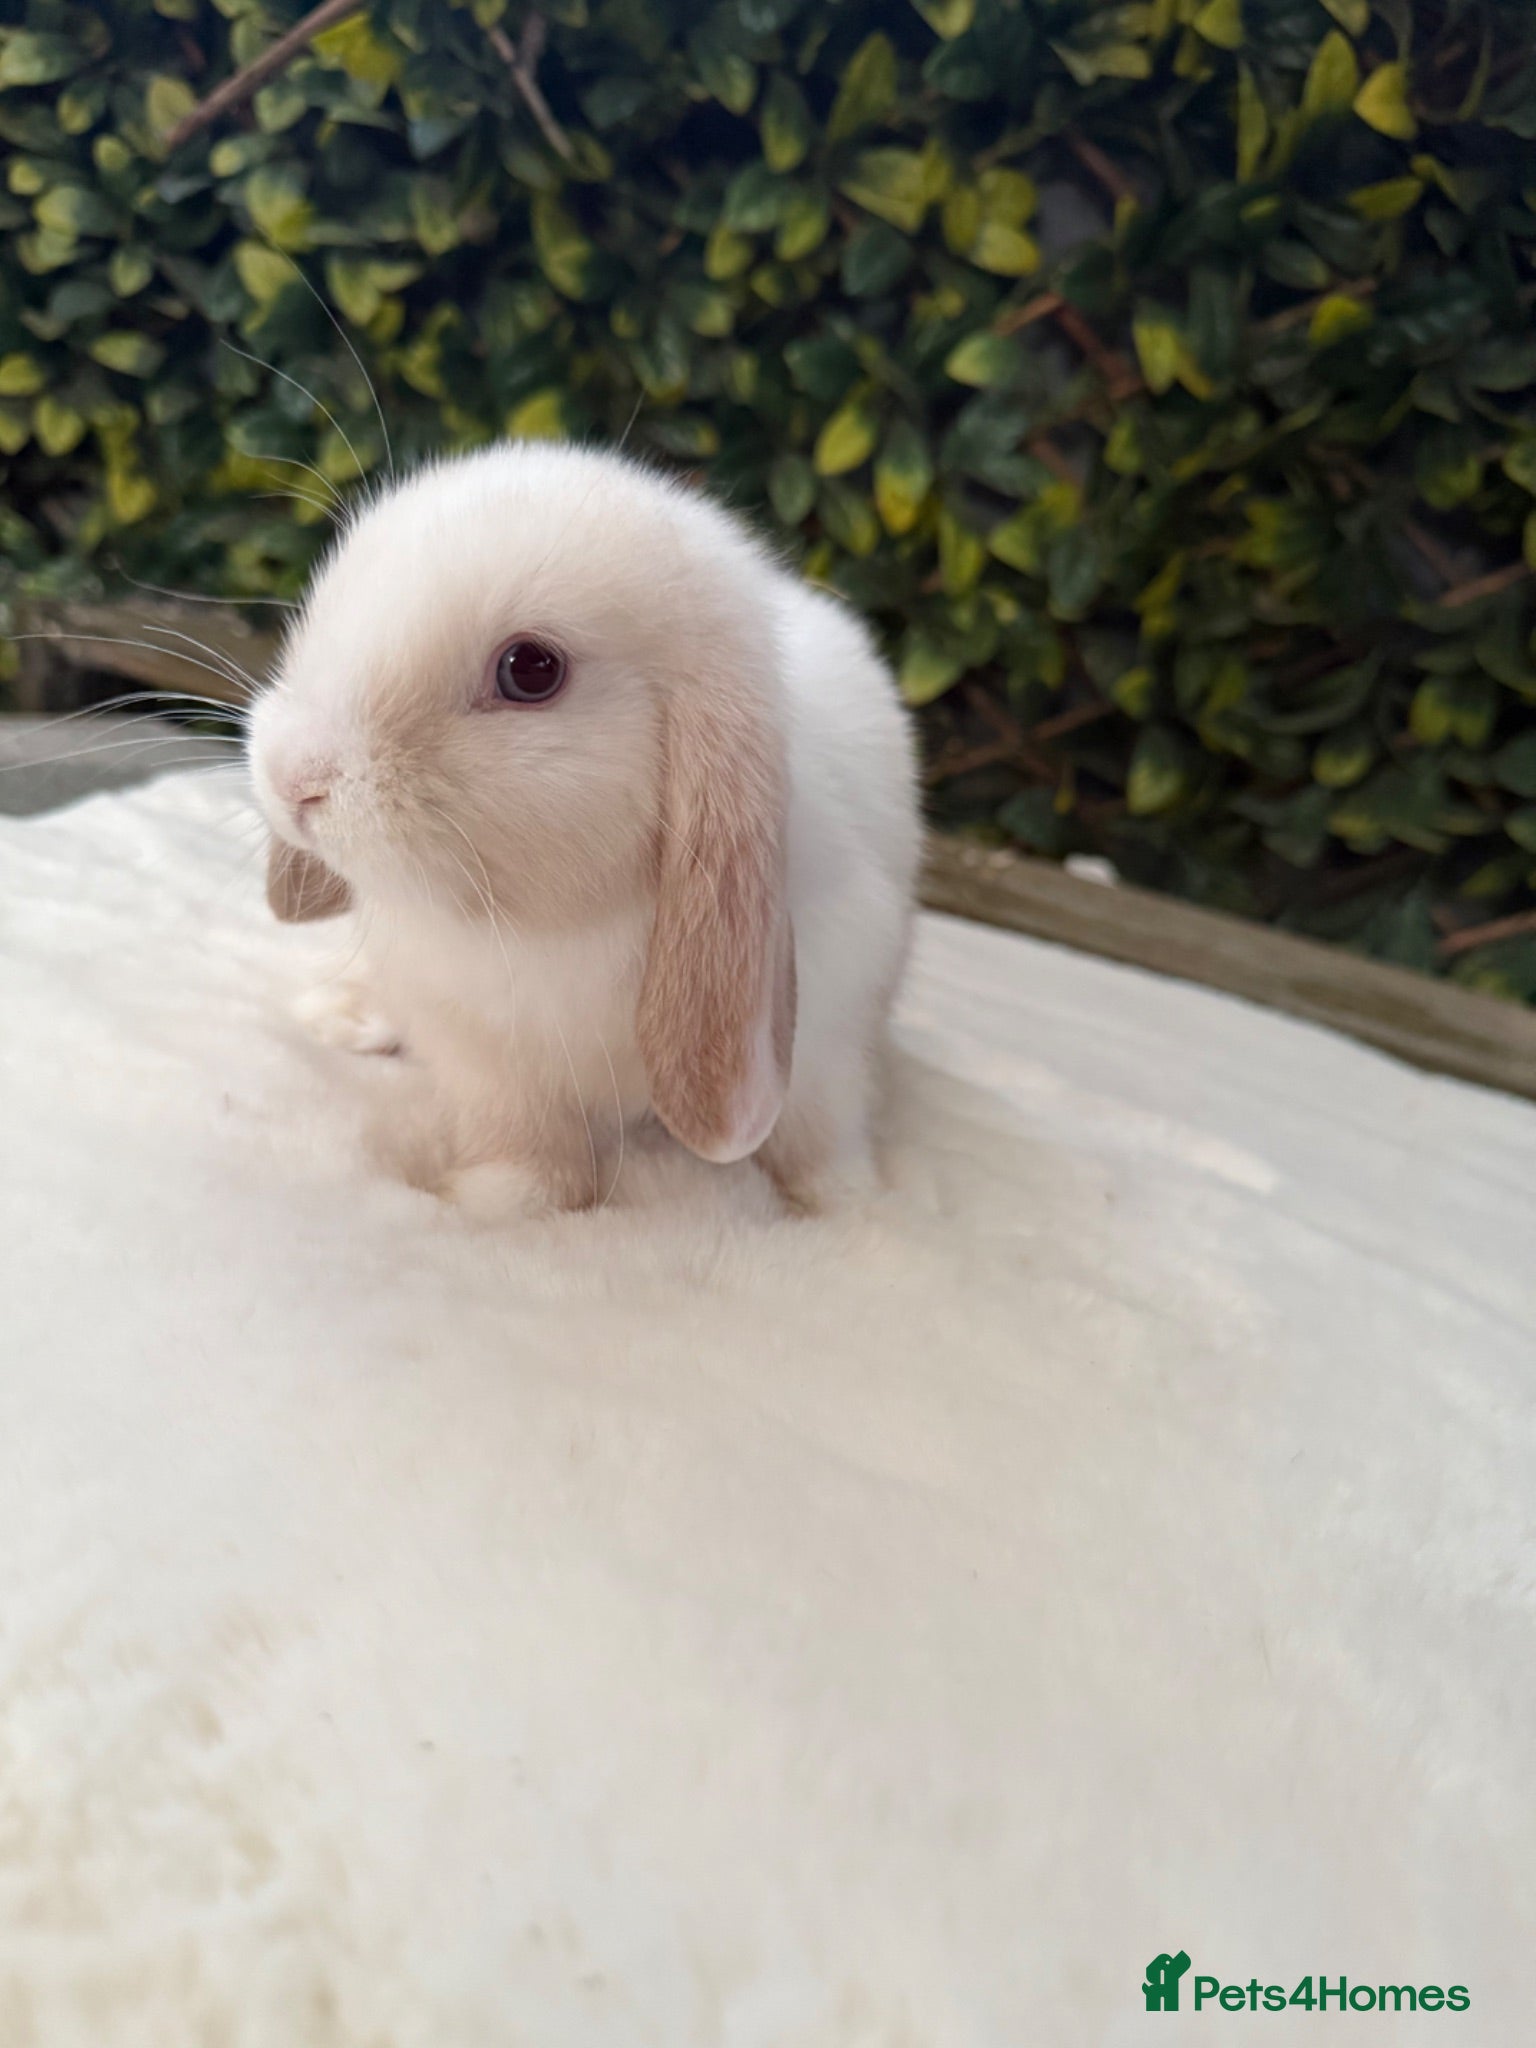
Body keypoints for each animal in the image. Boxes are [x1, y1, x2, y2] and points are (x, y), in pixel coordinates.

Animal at [248, 442, 921, 1217]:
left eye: (531, 670)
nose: (293, 778)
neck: (544, 928)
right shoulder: (489, 1064)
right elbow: (536, 1158)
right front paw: (489, 1200)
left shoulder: (827, 1043)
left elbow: (820, 1138)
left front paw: (851, 1208)